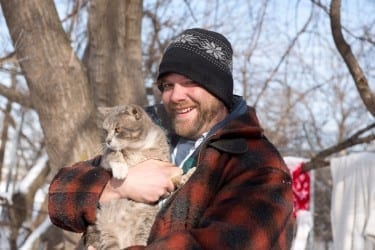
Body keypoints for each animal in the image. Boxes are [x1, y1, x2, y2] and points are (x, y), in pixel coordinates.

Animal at [81, 104, 194, 249]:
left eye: (117, 129)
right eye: (106, 131)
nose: (107, 141)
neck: (138, 147)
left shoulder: (163, 162)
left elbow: (174, 178)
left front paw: (185, 176)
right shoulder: (105, 160)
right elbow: (114, 153)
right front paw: (120, 169)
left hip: (143, 223)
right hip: (98, 230)